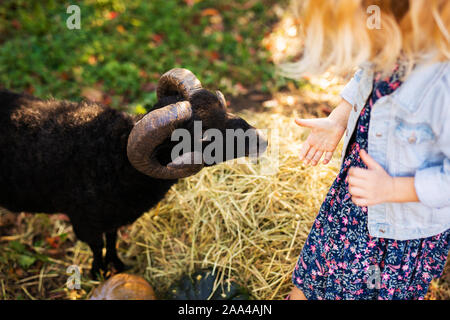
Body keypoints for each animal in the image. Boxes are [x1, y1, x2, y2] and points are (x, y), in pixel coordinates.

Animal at [0, 68, 268, 278]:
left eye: (222, 107)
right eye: (204, 137)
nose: (261, 139)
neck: (112, 157)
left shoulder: (113, 216)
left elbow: (112, 239)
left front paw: (117, 265)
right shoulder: (84, 221)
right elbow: (97, 246)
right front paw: (98, 272)